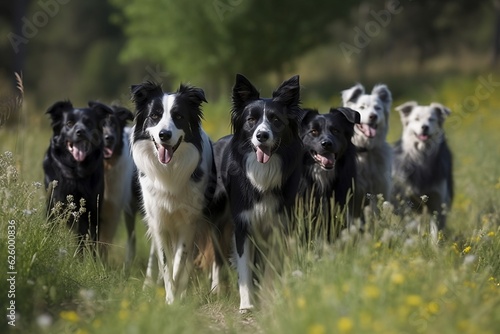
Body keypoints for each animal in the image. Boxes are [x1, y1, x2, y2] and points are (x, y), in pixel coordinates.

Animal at [43, 100, 112, 249]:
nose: (81, 132)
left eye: (89, 123)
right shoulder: (53, 208)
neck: (76, 173)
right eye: (69, 123)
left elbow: (86, 244)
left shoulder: (91, 213)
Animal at [214, 74, 302, 312]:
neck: (263, 170)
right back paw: (216, 290)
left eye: (276, 120)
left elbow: (271, 268)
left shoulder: (278, 226)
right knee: (217, 255)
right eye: (251, 120)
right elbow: (244, 269)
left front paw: (271, 297)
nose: (262, 135)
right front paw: (247, 305)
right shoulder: (243, 226)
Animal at [392, 100, 456, 236]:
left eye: (431, 119)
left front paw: (435, 242)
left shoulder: (438, 200)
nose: (424, 127)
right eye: (416, 119)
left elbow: (436, 230)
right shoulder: (407, 200)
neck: (422, 153)